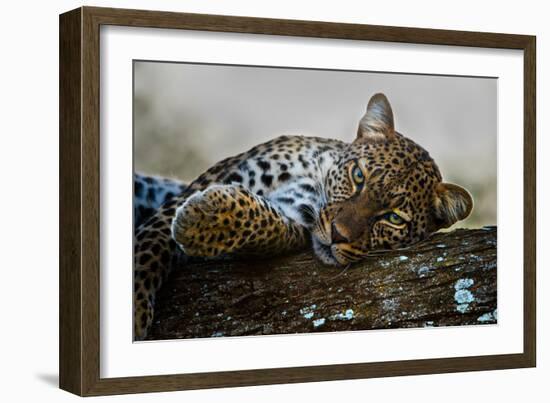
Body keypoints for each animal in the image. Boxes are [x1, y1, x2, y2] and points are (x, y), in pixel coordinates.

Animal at [134, 93, 474, 340]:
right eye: (358, 176)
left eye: (394, 218)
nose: (338, 234)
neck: (313, 176)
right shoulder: (198, 187)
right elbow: (149, 250)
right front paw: (135, 313)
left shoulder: (294, 220)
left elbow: (267, 224)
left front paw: (203, 218)